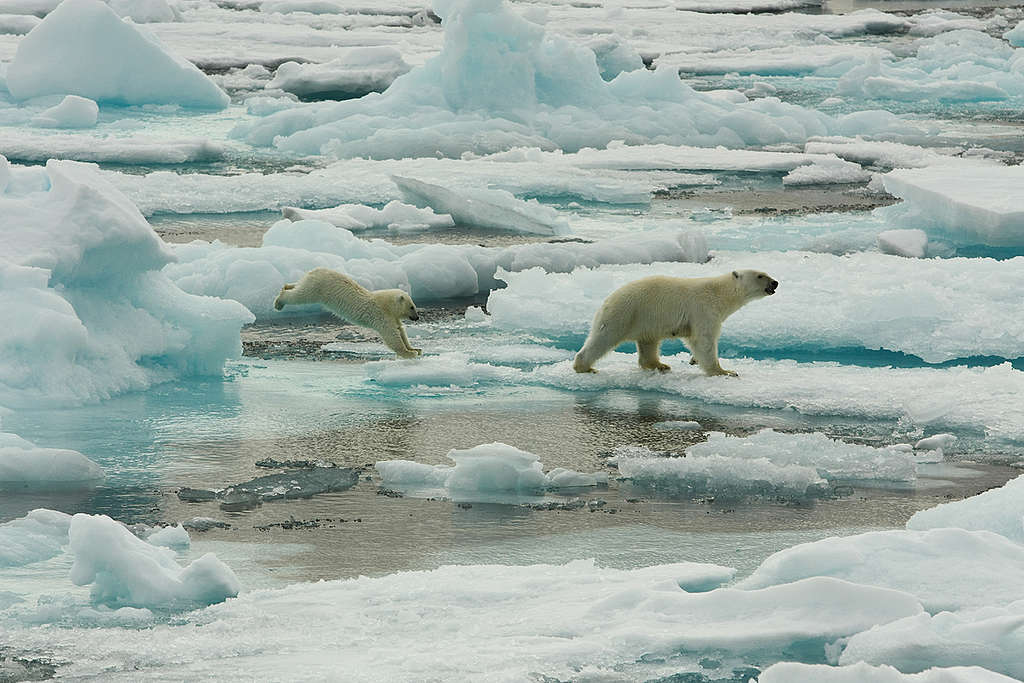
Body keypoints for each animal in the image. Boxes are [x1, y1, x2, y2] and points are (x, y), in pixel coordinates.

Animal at [274, 268, 421, 358]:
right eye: (412, 307)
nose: (417, 317)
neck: (385, 303)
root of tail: (315, 270)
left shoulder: (392, 316)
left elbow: (400, 330)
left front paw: (414, 349)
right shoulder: (380, 315)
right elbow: (392, 335)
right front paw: (409, 353)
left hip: (311, 281)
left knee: (299, 285)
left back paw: (287, 285)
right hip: (318, 288)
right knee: (300, 295)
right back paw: (279, 302)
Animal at [577, 270, 774, 376]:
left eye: (766, 274)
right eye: (760, 275)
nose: (775, 283)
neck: (719, 293)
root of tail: (607, 300)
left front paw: (694, 360)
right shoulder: (703, 308)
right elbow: (703, 339)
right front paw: (725, 371)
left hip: (646, 319)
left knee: (649, 342)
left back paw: (660, 365)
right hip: (624, 314)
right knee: (603, 339)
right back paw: (585, 367)